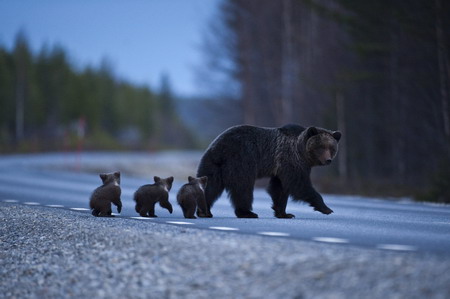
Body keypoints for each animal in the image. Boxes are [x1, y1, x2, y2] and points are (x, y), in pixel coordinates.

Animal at [197, 124, 342, 218]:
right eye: (321, 147)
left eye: (331, 148)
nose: (328, 160)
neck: (302, 153)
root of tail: (220, 148)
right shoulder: (291, 160)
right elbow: (299, 185)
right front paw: (327, 208)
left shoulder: (281, 167)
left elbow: (280, 188)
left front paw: (284, 213)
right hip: (241, 160)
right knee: (243, 187)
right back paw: (247, 213)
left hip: (213, 164)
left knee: (209, 185)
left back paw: (204, 211)